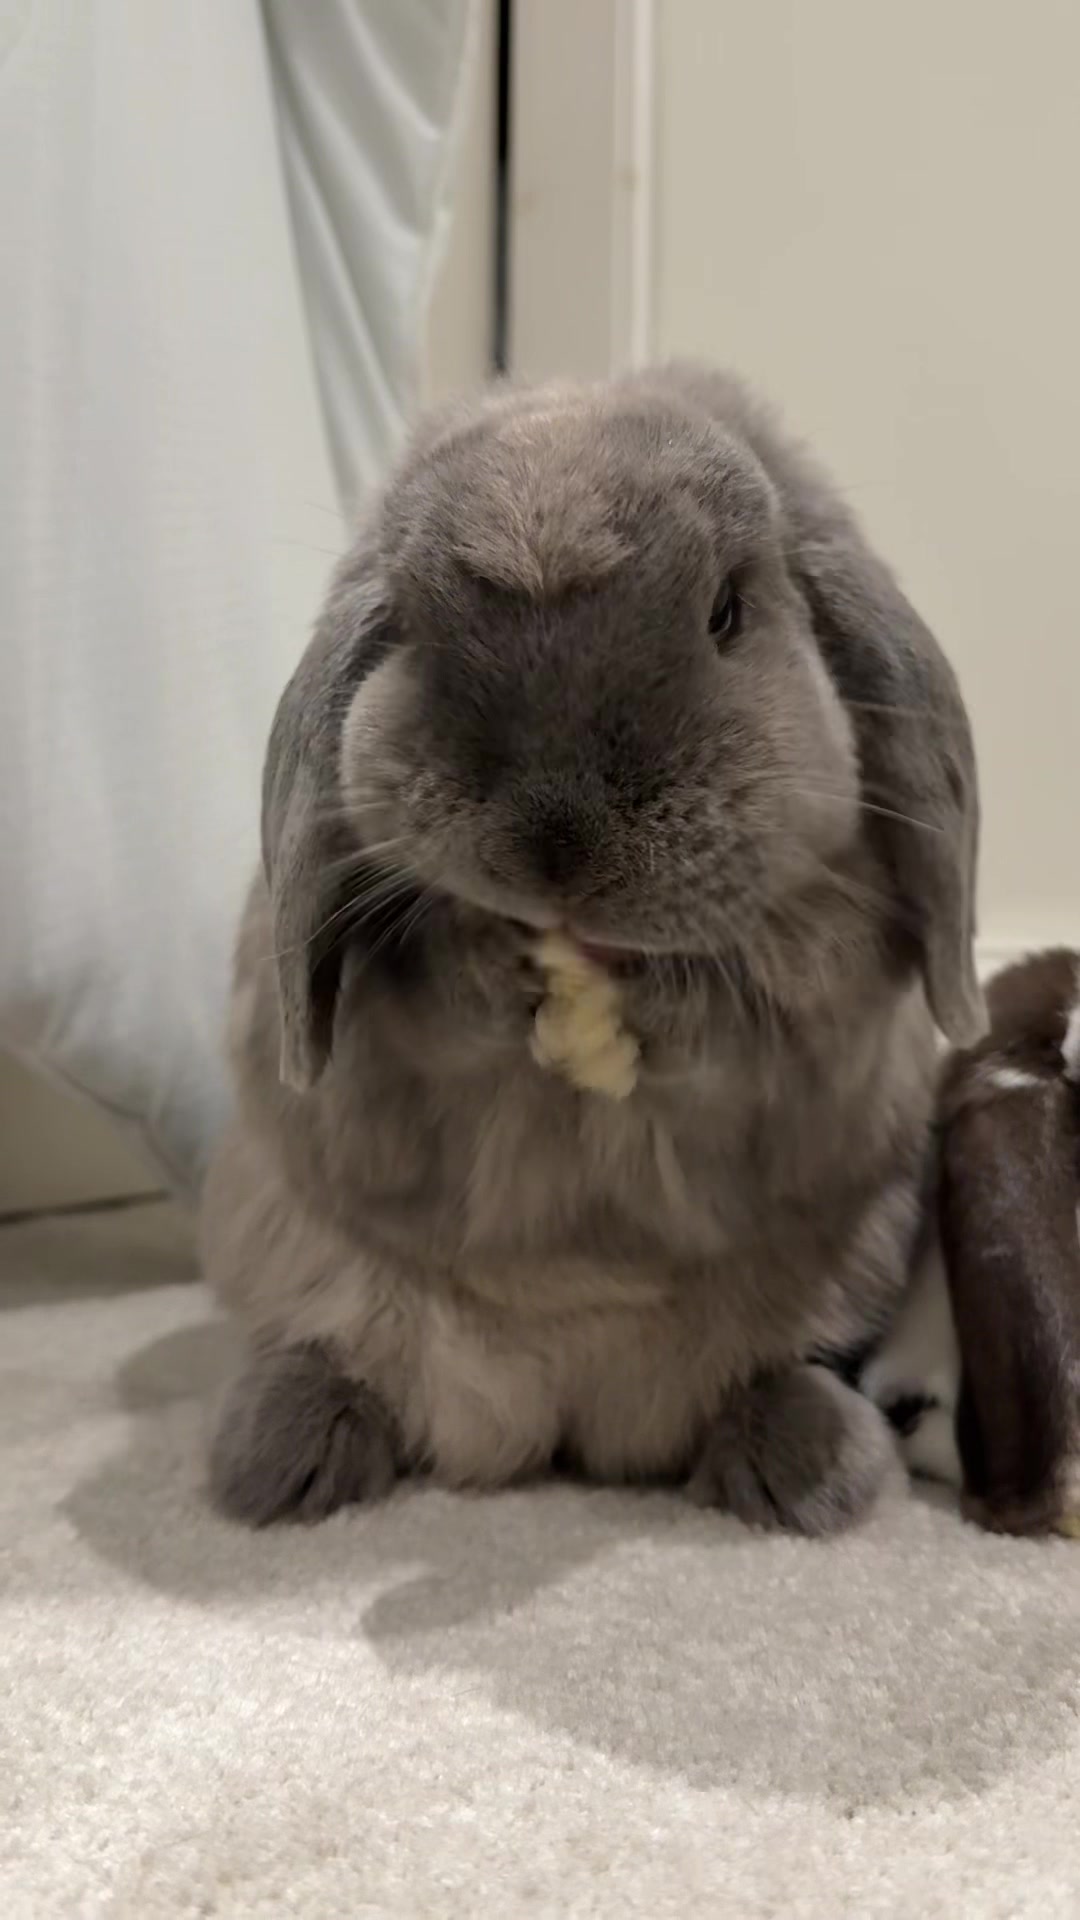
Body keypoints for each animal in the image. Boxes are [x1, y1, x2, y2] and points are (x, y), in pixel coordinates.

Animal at [200, 362, 985, 1533]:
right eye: (413, 629)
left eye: (727, 612)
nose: (553, 843)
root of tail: (564, 1409)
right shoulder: (378, 1009)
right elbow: (424, 1000)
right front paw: (494, 969)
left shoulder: (828, 978)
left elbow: (761, 1012)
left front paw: (651, 1003)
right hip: (304, 1267)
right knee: (342, 1365)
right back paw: (278, 1464)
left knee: (773, 1377)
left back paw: (809, 1474)